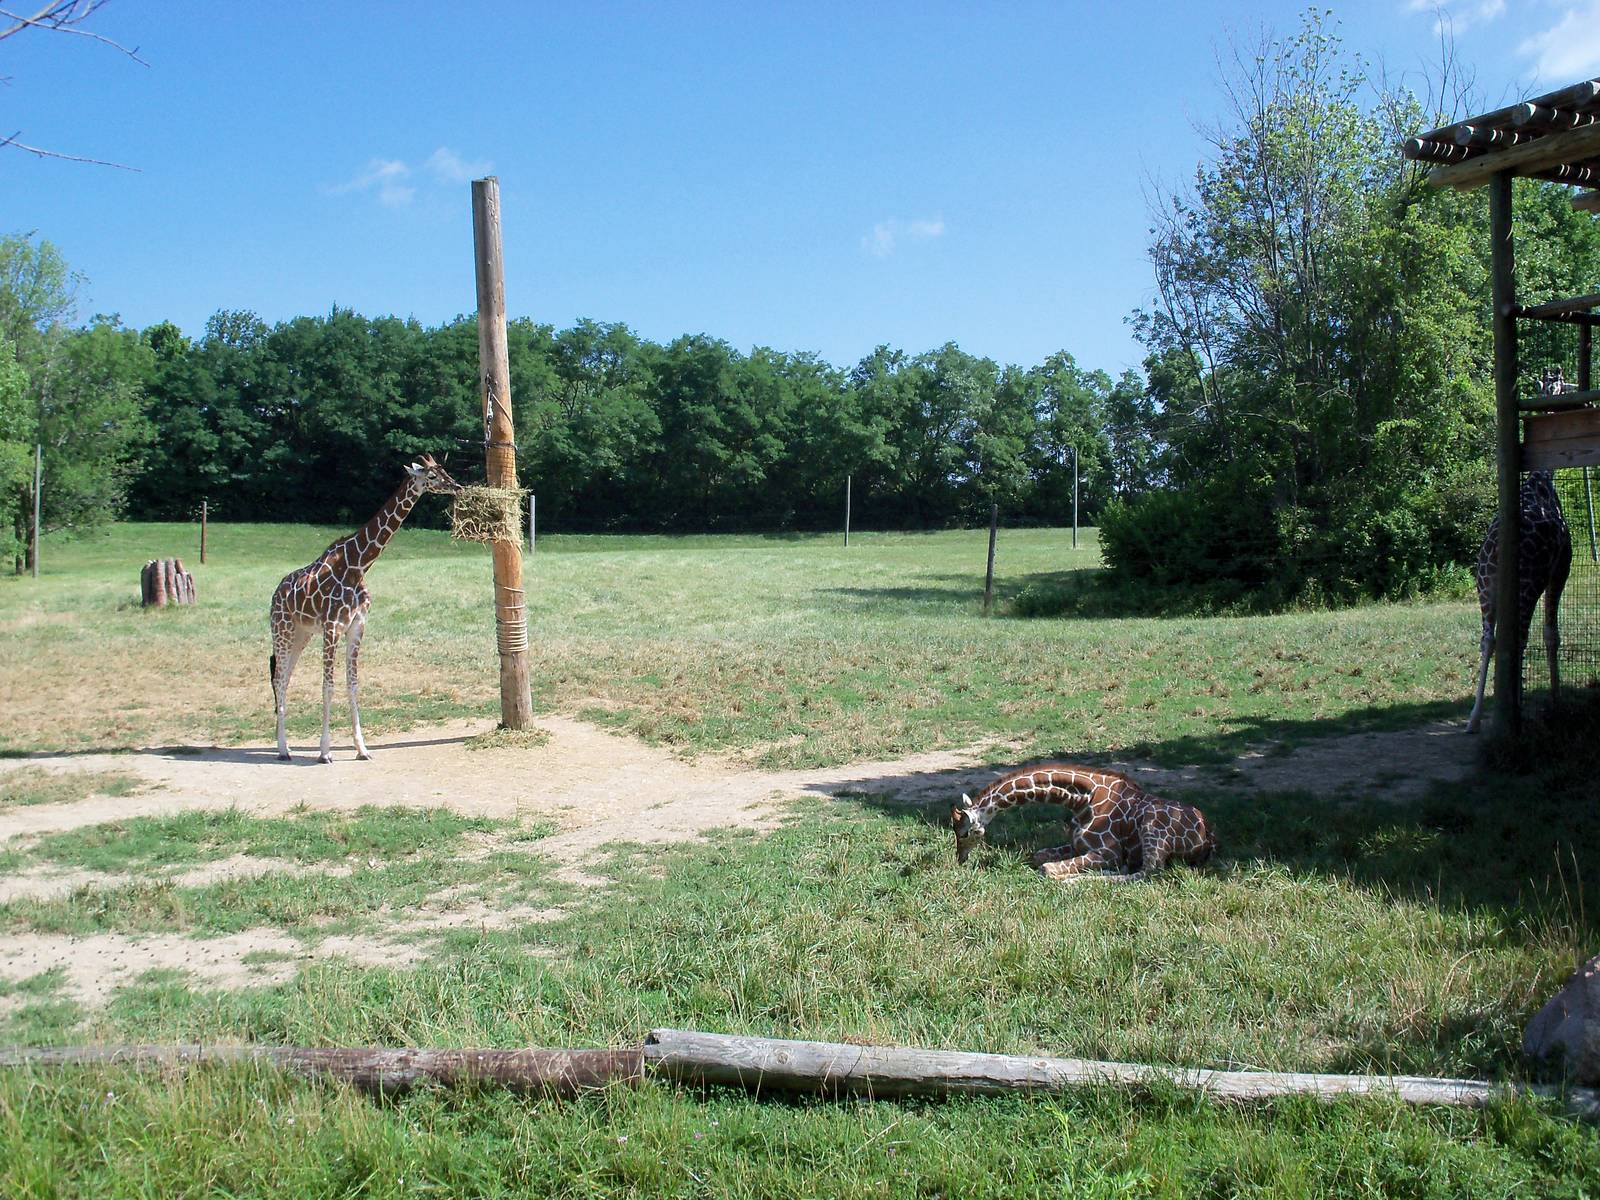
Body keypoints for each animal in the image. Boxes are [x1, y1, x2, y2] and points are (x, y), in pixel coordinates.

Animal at [269, 455, 462, 763]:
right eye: (431, 476)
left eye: (444, 471)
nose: (456, 486)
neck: (358, 566)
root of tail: (276, 592)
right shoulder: (332, 627)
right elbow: (328, 686)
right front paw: (325, 752)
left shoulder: (357, 627)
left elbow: (353, 684)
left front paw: (362, 748)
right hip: (282, 630)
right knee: (278, 679)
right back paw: (283, 749)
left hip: (302, 634)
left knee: (284, 679)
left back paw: (283, 747)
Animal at [951, 765, 1216, 881]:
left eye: (964, 833)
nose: (959, 859)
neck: (1081, 800)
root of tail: (1209, 836)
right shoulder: (1076, 844)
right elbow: (1039, 856)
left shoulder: (1108, 851)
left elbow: (1046, 869)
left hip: (1152, 825)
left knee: (1148, 872)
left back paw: (1076, 879)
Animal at [1466, 377, 1573, 733]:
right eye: (1562, 385)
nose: (1571, 392)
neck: (1542, 479)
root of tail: (1498, 547)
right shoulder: (1561, 569)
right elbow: (1551, 635)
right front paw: (1556, 702)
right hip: (1526, 583)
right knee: (1519, 637)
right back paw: (1514, 710)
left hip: (1485, 586)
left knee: (1489, 639)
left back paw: (1474, 718)